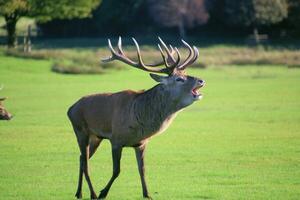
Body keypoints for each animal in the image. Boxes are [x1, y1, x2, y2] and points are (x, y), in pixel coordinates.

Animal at [67, 37, 205, 198]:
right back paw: (93, 194)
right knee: (86, 163)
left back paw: (79, 192)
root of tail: (70, 108)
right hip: (80, 130)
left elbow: (142, 169)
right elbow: (117, 170)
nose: (201, 81)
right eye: (179, 79)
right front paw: (103, 193)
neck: (139, 121)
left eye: (186, 73)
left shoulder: (141, 143)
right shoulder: (116, 140)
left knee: (81, 158)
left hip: (96, 137)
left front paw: (147, 194)